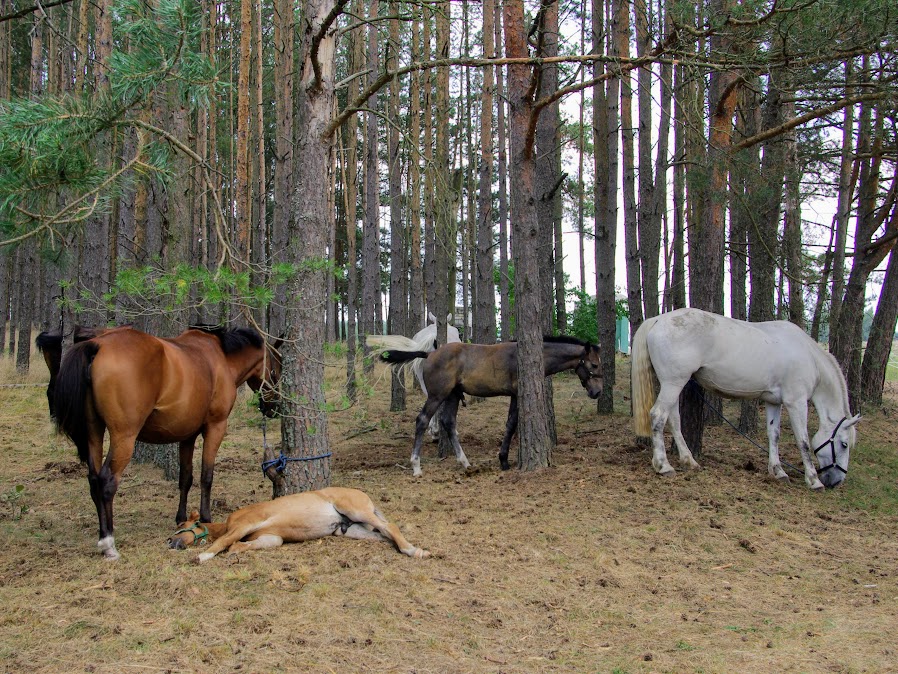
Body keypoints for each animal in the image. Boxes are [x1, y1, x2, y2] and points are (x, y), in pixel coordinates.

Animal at [54, 322, 278, 560]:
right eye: (276, 366)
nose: (274, 407)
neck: (221, 358)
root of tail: (99, 344)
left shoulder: (187, 435)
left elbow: (185, 478)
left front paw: (181, 517)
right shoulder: (215, 427)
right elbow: (206, 476)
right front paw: (206, 517)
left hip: (94, 432)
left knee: (94, 480)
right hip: (123, 437)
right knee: (106, 481)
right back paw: (108, 543)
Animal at [172, 486, 434, 560]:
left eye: (181, 526)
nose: (170, 542)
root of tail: (365, 495)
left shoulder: (245, 524)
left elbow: (225, 541)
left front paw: (202, 556)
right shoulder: (271, 537)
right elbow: (245, 544)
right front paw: (236, 549)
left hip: (357, 511)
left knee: (390, 527)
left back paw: (414, 550)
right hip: (351, 530)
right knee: (383, 535)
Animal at [378, 334, 600, 472]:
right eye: (594, 364)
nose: (597, 392)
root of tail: (430, 353)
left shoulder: (513, 396)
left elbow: (510, 423)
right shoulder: (517, 394)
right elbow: (511, 424)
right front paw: (504, 460)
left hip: (452, 396)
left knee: (448, 422)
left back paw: (465, 462)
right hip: (437, 396)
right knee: (422, 420)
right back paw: (416, 465)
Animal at [628, 308, 856, 488]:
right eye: (844, 444)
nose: (836, 481)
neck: (807, 355)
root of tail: (659, 320)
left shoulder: (773, 402)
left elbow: (774, 435)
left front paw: (778, 471)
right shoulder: (796, 403)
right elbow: (804, 441)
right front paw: (813, 480)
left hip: (674, 384)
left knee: (674, 420)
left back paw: (689, 460)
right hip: (673, 383)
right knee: (658, 416)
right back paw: (663, 466)